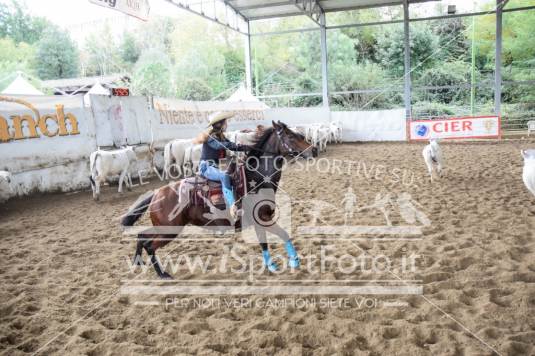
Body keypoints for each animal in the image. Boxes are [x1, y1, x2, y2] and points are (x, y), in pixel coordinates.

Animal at [121, 119, 314, 278]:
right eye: (290, 135)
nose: (314, 149)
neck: (255, 179)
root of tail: (157, 193)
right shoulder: (263, 218)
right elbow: (279, 237)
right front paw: (289, 262)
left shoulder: (261, 220)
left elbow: (270, 241)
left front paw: (278, 264)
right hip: (169, 230)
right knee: (149, 244)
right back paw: (162, 274)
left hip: (164, 228)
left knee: (142, 236)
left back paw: (138, 262)